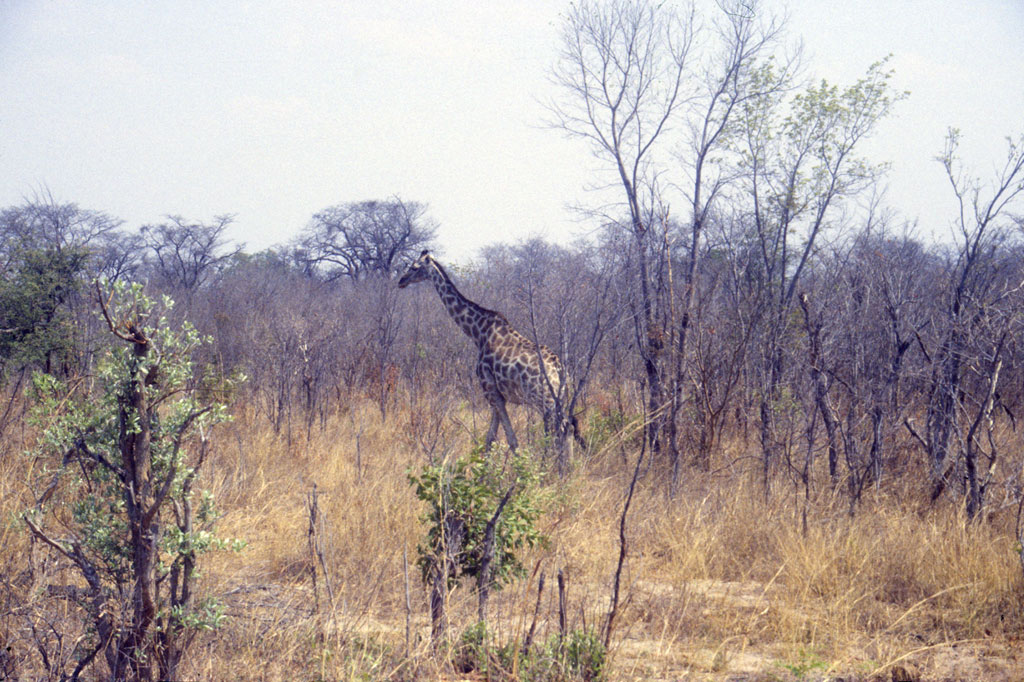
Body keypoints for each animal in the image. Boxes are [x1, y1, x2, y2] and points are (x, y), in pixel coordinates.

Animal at [397, 249, 581, 450]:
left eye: (414, 267)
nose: (401, 281)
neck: (477, 333)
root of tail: (559, 369)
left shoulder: (490, 390)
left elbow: (510, 440)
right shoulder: (497, 395)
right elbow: (490, 438)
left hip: (544, 399)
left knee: (561, 429)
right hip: (558, 398)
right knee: (567, 428)